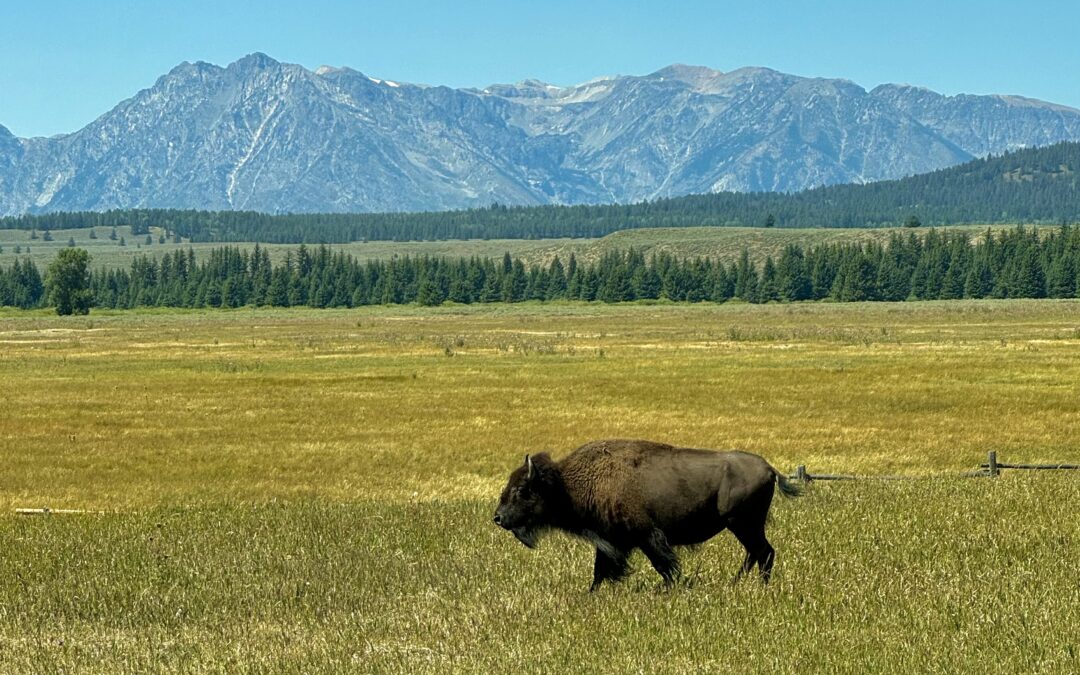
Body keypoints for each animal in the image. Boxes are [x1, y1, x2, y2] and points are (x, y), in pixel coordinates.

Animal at [494, 436, 799, 587]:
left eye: (522, 489)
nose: (497, 517)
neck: (566, 484)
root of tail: (770, 469)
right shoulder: (612, 542)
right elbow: (600, 571)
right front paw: (593, 593)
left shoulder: (646, 537)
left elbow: (664, 565)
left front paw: (672, 588)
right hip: (744, 526)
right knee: (756, 553)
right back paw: (738, 584)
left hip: (742, 523)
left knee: (763, 552)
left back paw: (757, 587)